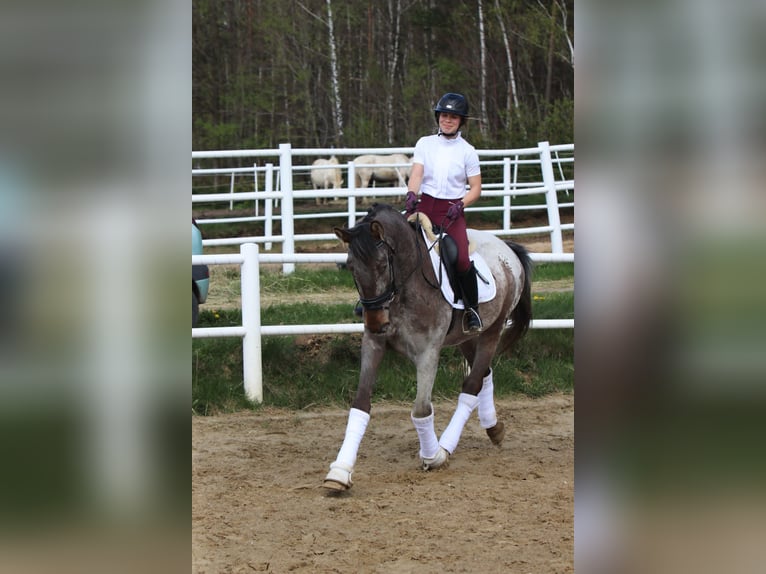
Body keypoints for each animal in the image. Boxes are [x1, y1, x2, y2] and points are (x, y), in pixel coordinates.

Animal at [324, 205, 536, 492]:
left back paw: (446, 446)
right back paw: (493, 427)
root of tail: (507, 248)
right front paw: (340, 471)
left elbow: (421, 410)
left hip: (493, 330)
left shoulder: (428, 353)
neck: (404, 288)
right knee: (483, 374)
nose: (376, 322)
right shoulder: (374, 344)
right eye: (350, 267)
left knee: (471, 385)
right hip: (466, 337)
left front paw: (433, 456)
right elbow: (360, 403)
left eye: (382, 265)